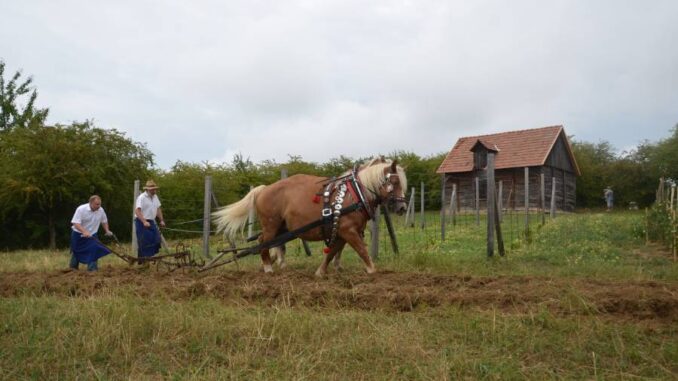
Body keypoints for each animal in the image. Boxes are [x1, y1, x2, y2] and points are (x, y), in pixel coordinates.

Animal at [212, 157, 406, 276]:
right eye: (394, 182)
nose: (402, 207)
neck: (355, 194)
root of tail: (263, 190)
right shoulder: (348, 230)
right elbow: (362, 250)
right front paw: (372, 271)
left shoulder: (343, 232)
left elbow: (333, 252)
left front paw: (321, 272)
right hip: (270, 225)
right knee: (262, 243)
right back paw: (268, 268)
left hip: (282, 227)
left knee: (276, 245)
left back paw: (278, 265)